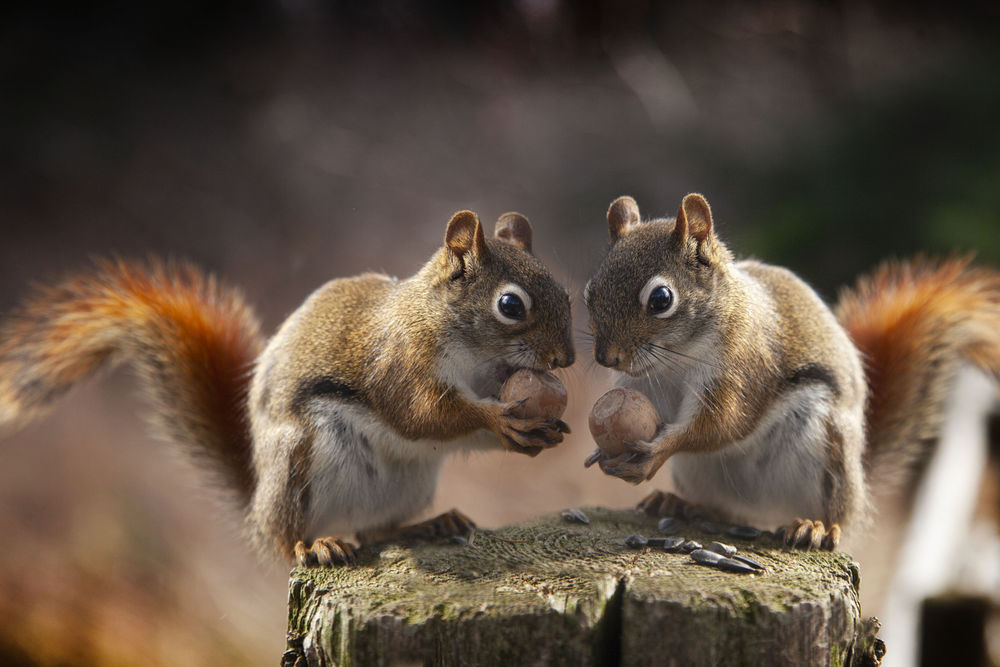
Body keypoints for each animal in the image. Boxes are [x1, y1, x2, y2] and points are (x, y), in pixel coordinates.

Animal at [0, 209, 576, 564]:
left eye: (565, 293)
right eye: (510, 305)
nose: (565, 359)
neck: (475, 355)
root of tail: (256, 511)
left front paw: (540, 432)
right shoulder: (399, 362)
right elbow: (422, 415)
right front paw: (499, 418)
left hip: (409, 482)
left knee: (375, 531)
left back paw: (424, 526)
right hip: (301, 457)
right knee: (291, 539)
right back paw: (312, 547)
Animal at [584, 192, 1000, 548]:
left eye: (661, 299)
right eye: (590, 292)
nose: (608, 358)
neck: (676, 359)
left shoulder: (744, 368)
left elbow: (723, 425)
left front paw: (657, 452)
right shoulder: (642, 390)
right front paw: (602, 453)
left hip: (826, 448)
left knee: (836, 518)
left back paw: (815, 527)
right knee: (724, 509)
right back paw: (681, 504)